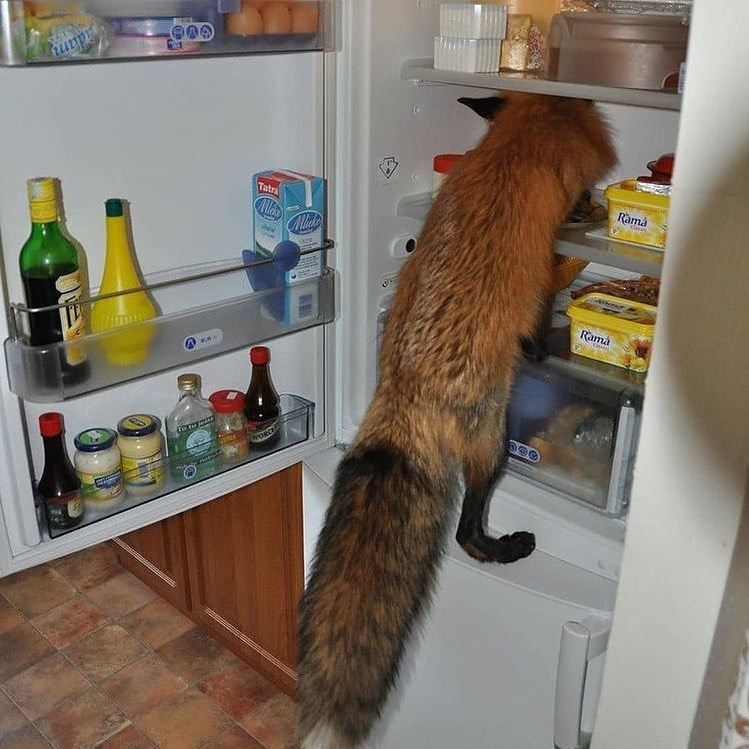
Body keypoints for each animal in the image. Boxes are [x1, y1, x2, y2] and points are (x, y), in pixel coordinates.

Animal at [297, 92, 616, 749]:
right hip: (493, 442)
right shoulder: (539, 275)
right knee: (466, 533)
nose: (588, 207)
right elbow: (548, 298)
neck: (509, 152)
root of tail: (400, 396)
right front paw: (549, 333)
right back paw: (503, 547)